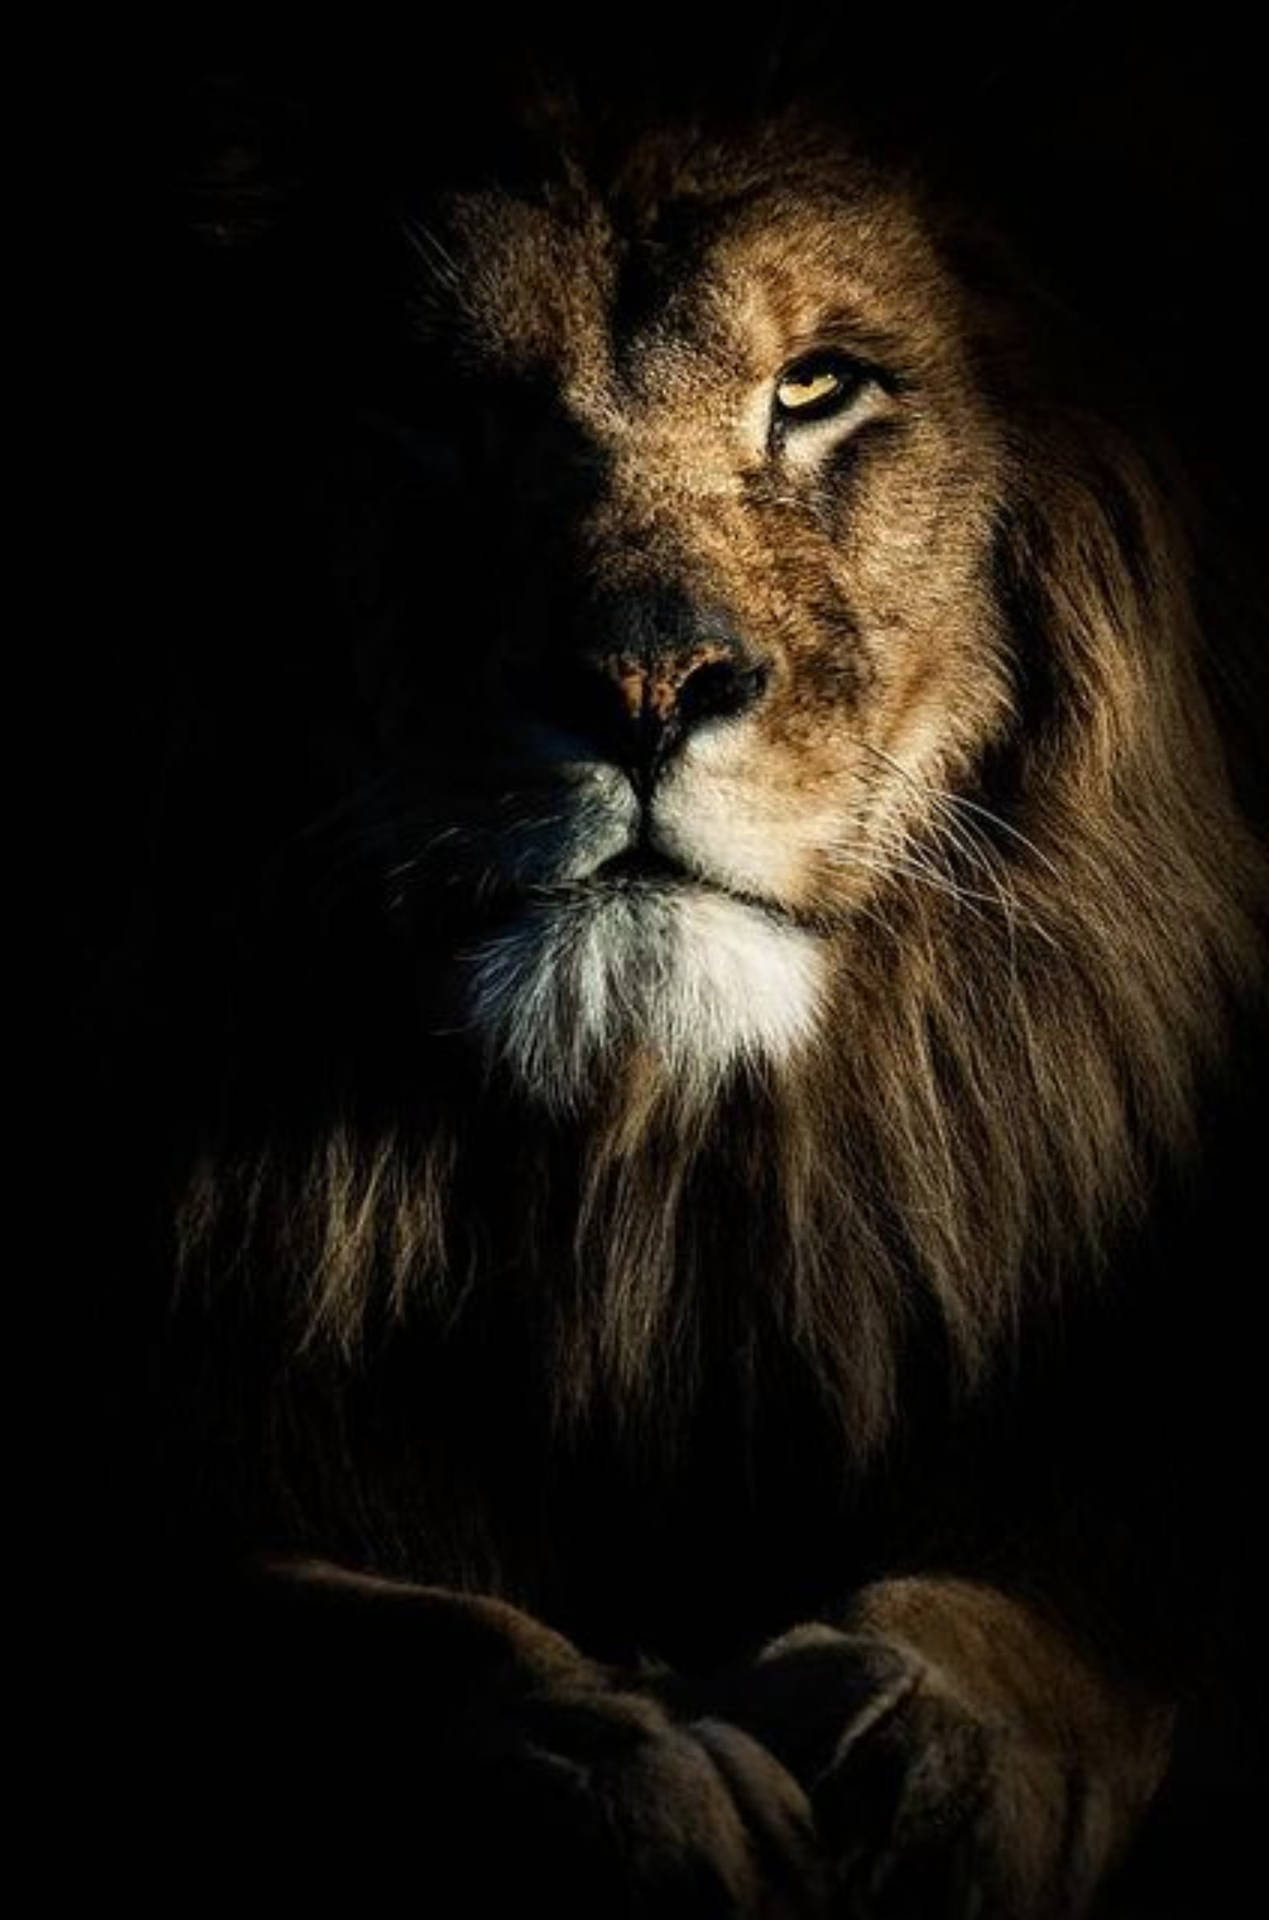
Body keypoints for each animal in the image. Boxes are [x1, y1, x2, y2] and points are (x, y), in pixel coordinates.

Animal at [116, 97, 1265, 1918]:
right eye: (437, 406)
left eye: (817, 387)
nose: (643, 683)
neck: (652, 1190)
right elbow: (342, 1628)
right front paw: (598, 1771)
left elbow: (1091, 1579)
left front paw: (935, 1735)